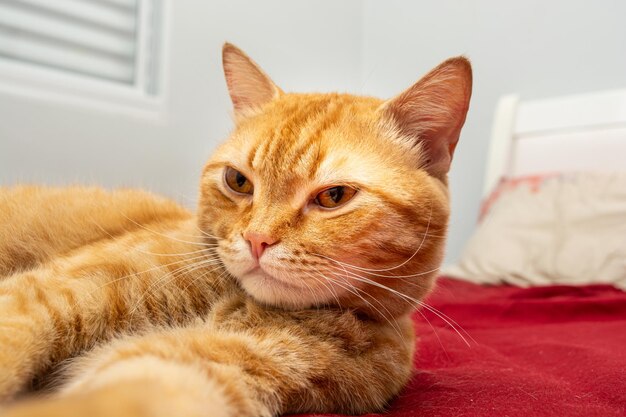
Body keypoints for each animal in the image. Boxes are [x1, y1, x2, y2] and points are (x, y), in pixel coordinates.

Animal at [0, 44, 468, 414]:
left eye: (334, 197)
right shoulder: (51, 294)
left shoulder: (192, 363)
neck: (231, 300)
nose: (257, 239)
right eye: (238, 181)